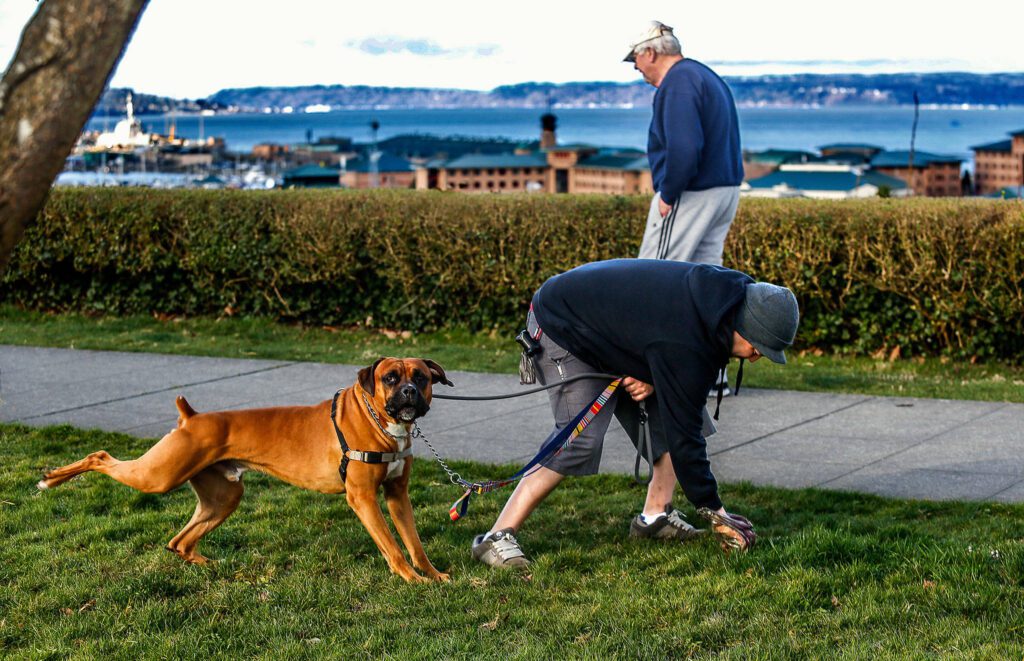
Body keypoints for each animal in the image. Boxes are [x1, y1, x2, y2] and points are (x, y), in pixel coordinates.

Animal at [37, 358, 452, 585]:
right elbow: (394, 547)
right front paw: (412, 580)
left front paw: (433, 576)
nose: (410, 392)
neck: (379, 421)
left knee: (179, 542)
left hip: (222, 497)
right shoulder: (364, 498)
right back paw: (52, 478)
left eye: (421, 376)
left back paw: (208, 566)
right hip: (158, 476)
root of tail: (192, 417)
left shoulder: (397, 496)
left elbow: (414, 544)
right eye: (390, 378)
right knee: (100, 456)